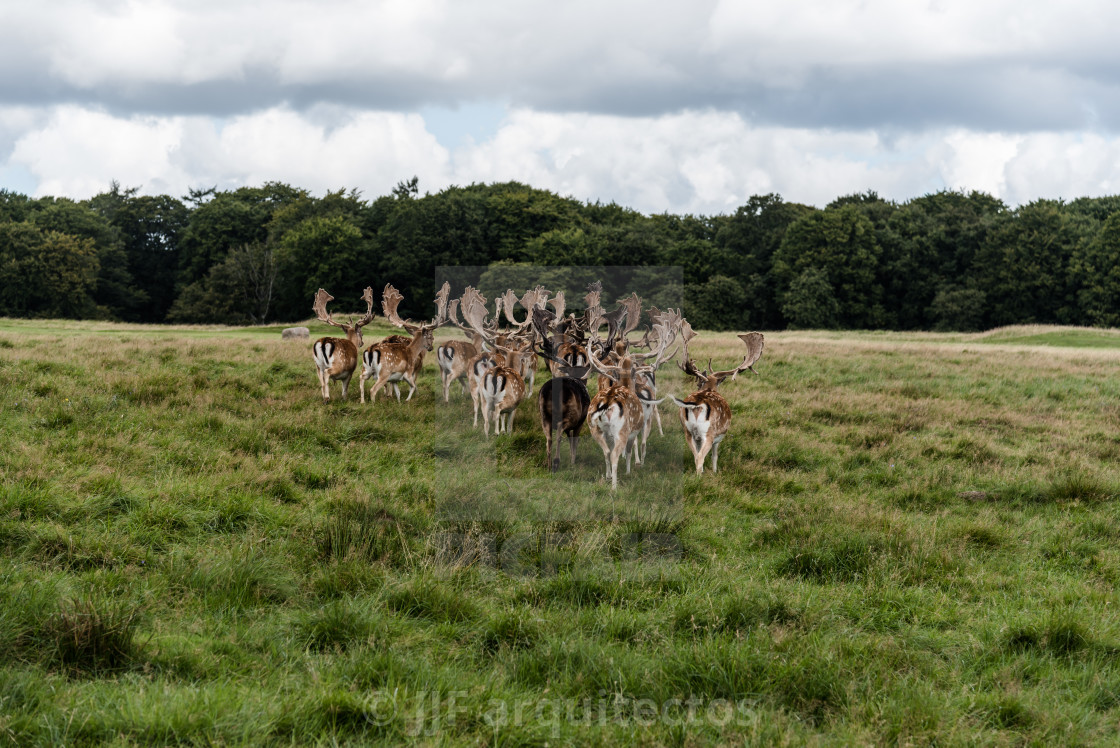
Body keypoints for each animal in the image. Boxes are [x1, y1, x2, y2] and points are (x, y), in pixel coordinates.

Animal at [667, 331, 766, 472]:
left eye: (699, 383)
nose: (698, 385)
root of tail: (696, 404)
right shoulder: (718, 438)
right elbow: (715, 456)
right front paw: (715, 472)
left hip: (687, 431)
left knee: (696, 456)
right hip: (709, 433)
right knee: (700, 458)